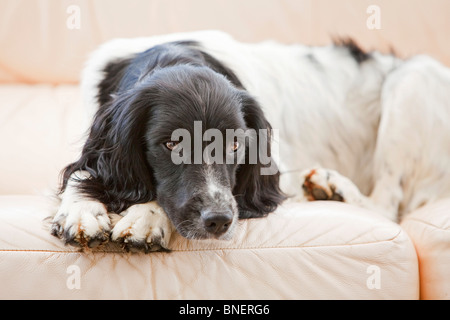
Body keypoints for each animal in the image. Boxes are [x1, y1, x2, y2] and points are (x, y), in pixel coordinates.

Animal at [51, 30, 450, 252]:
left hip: (413, 77)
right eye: (171, 145)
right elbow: (81, 173)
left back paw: (333, 186)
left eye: (234, 145)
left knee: (389, 204)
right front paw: (81, 211)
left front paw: (145, 219)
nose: (218, 220)